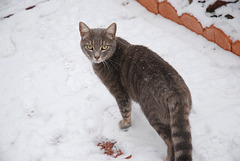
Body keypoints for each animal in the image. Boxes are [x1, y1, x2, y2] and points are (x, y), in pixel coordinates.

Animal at [79, 21, 193, 161]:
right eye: (89, 46)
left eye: (104, 46)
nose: (96, 56)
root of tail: (177, 92)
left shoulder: (120, 93)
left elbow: (125, 111)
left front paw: (124, 125)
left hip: (154, 115)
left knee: (171, 141)